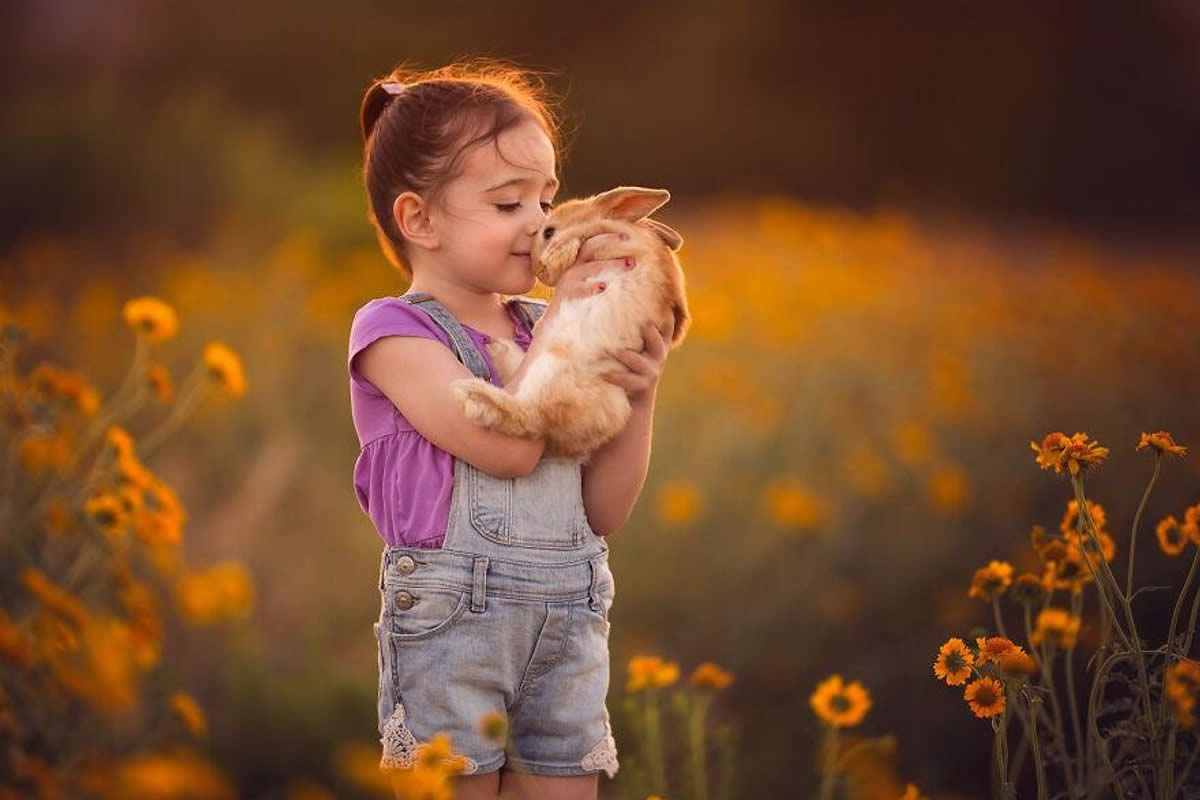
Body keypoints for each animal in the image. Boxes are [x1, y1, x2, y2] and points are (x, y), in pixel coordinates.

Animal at [448, 185, 696, 462]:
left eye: (548, 232)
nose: (539, 270)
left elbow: (571, 241)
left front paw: (558, 253)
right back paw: (497, 351)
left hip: (551, 368)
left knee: (528, 417)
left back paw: (474, 392)